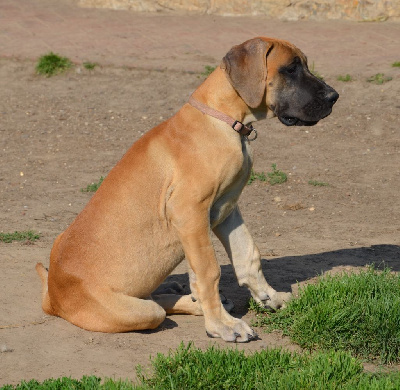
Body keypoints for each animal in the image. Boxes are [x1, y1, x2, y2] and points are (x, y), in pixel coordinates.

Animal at [36, 36, 338, 342]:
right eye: (290, 69)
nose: (333, 96)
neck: (226, 120)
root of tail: (52, 295)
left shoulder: (227, 209)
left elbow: (248, 254)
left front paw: (268, 297)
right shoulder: (189, 211)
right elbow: (209, 271)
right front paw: (222, 325)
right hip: (135, 311)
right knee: (154, 308)